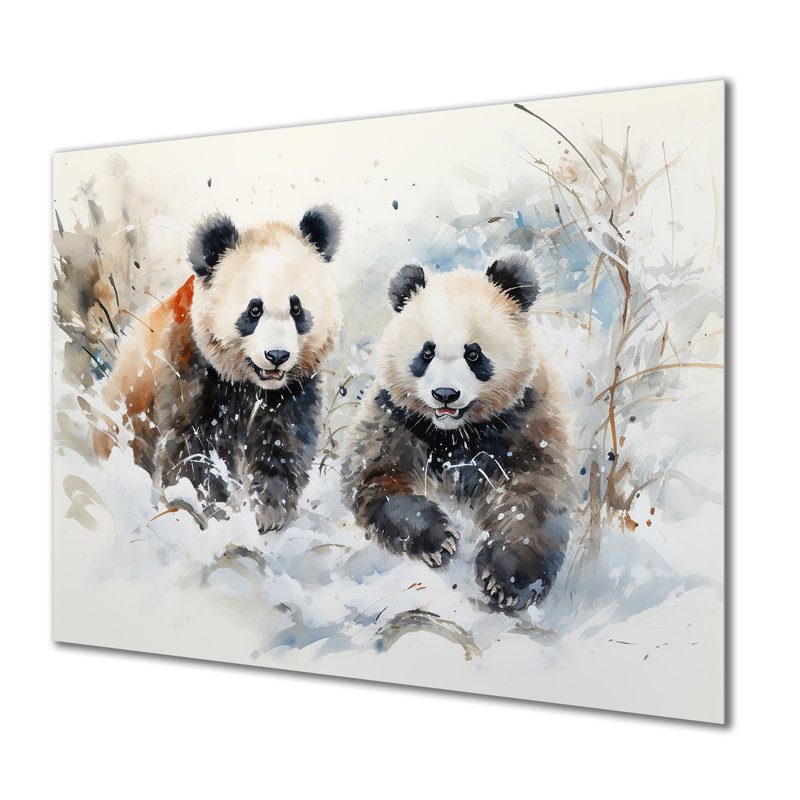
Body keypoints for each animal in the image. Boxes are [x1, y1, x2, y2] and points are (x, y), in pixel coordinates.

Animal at [93, 206, 342, 533]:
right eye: (254, 309)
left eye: (297, 309)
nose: (277, 355)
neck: (252, 385)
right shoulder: (190, 370)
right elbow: (192, 451)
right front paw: (217, 515)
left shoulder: (293, 391)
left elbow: (282, 446)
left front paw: (269, 515)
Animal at [340, 254, 573, 611]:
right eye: (427, 352)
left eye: (473, 354)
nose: (445, 394)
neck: (456, 433)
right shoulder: (396, 415)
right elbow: (379, 475)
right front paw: (437, 541)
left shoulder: (526, 421)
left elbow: (531, 498)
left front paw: (511, 581)